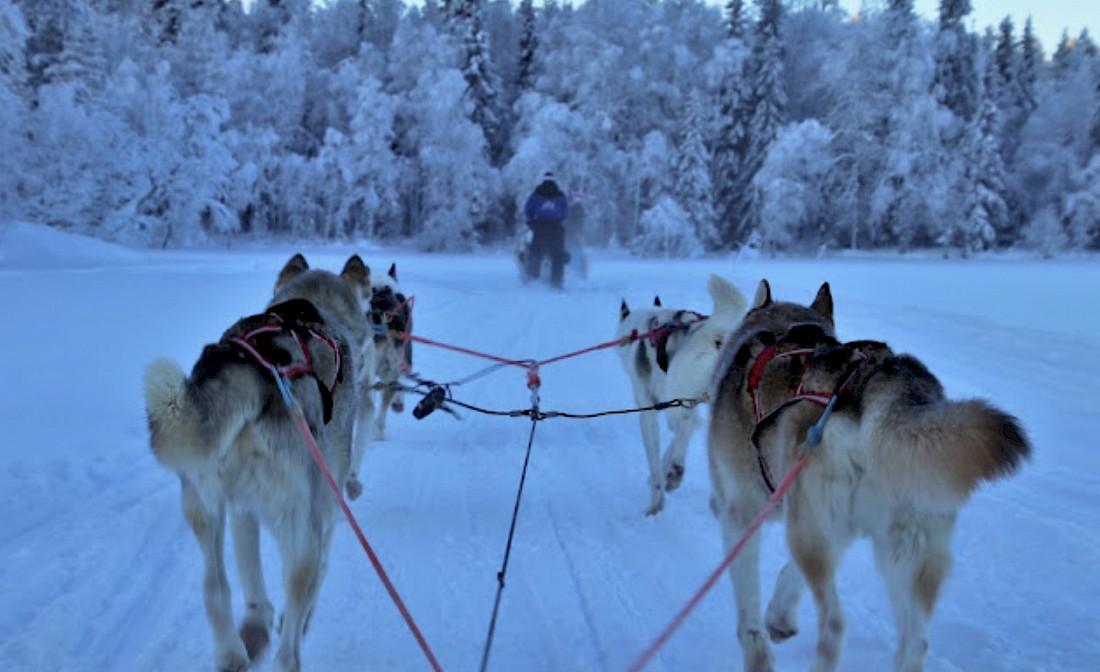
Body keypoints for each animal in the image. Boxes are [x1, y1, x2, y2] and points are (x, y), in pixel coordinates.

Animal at [144, 254, 374, 672]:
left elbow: (249, 574)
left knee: (215, 588)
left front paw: (257, 621)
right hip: (300, 525)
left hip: (202, 505)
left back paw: (234, 651)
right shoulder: (326, 508)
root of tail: (255, 371)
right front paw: (297, 619)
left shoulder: (240, 510)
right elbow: (320, 572)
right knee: (291, 636)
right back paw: (285, 646)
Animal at [616, 273, 752, 514]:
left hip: (677, 397)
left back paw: (676, 471)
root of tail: (717, 332)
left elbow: (659, 454)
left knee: (682, 425)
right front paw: (663, 472)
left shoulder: (649, 411)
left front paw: (656, 499)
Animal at [704, 278, 1029, 672]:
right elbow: (789, 575)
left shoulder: (744, 515)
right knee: (914, 643)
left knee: (835, 624)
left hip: (812, 534)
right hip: (902, 553)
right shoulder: (825, 526)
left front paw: (760, 649)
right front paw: (780, 616)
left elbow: (749, 612)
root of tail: (877, 385)